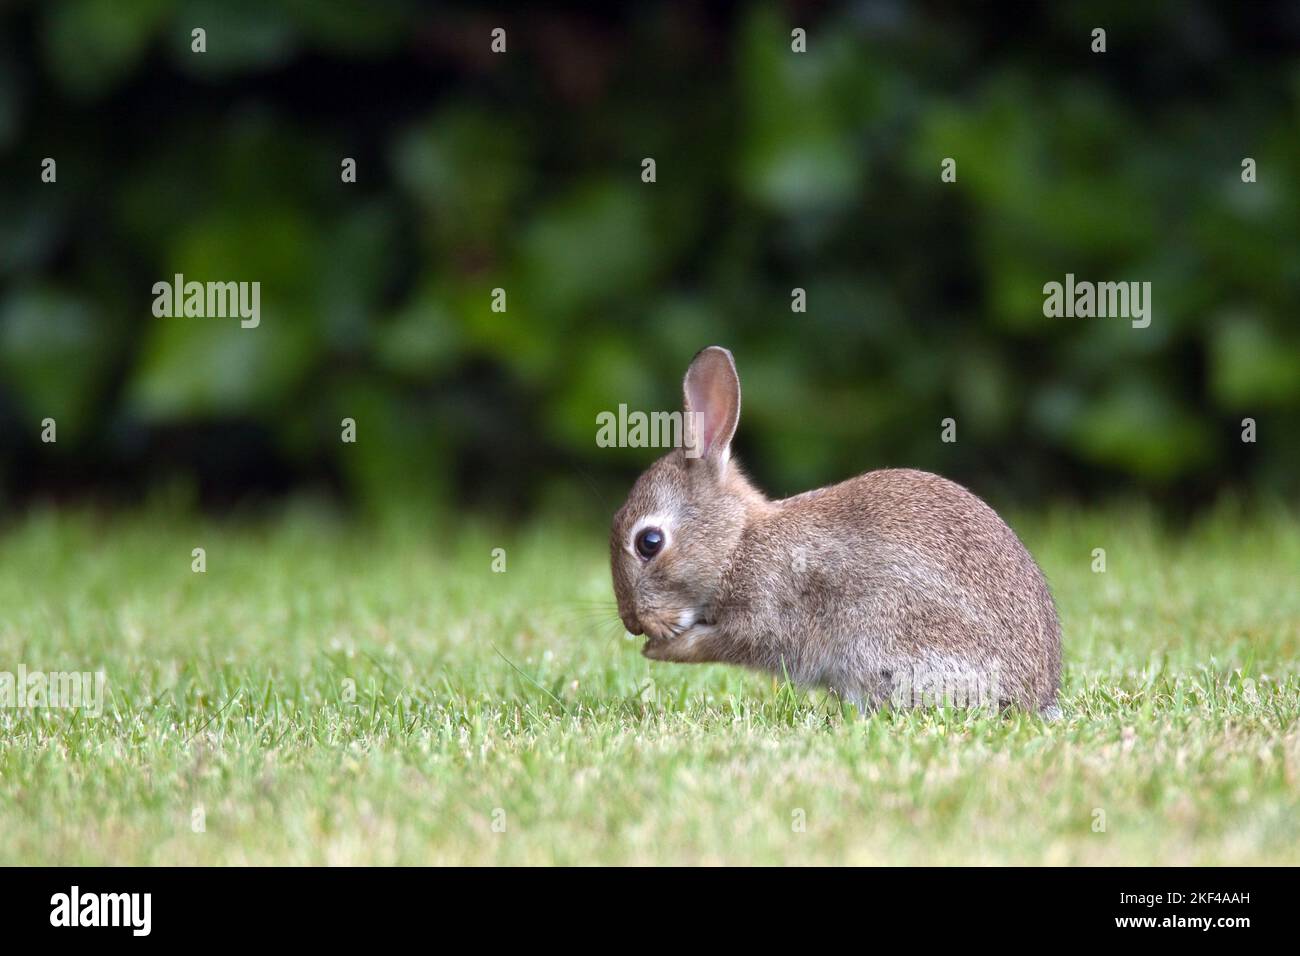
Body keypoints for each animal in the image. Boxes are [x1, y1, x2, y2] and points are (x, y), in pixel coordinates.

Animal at [613, 348, 1060, 712]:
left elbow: (729, 643)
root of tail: (1037, 697)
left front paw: (661, 649)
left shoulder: (770, 613)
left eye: (649, 542)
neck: (736, 544)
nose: (632, 623)